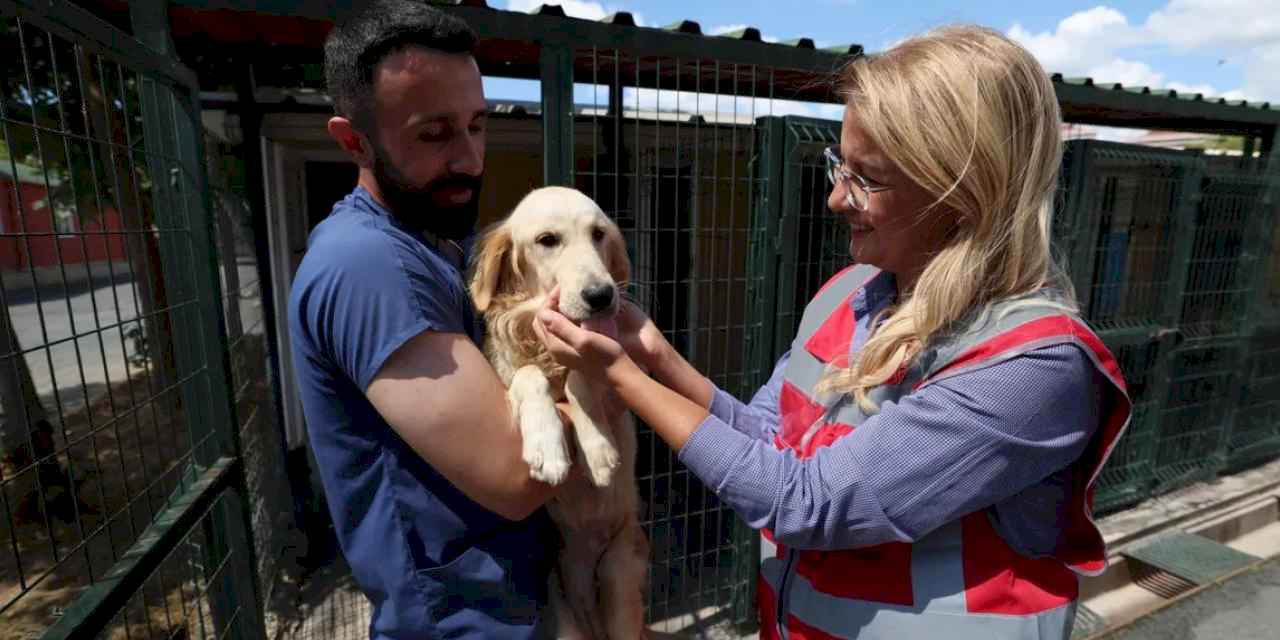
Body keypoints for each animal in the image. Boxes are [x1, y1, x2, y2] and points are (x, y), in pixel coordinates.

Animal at [468, 186, 650, 640]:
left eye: (599, 234)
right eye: (547, 240)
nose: (602, 296)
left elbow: (582, 376)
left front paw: (598, 450)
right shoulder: (508, 374)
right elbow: (529, 375)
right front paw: (547, 449)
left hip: (620, 573)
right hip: (563, 608)